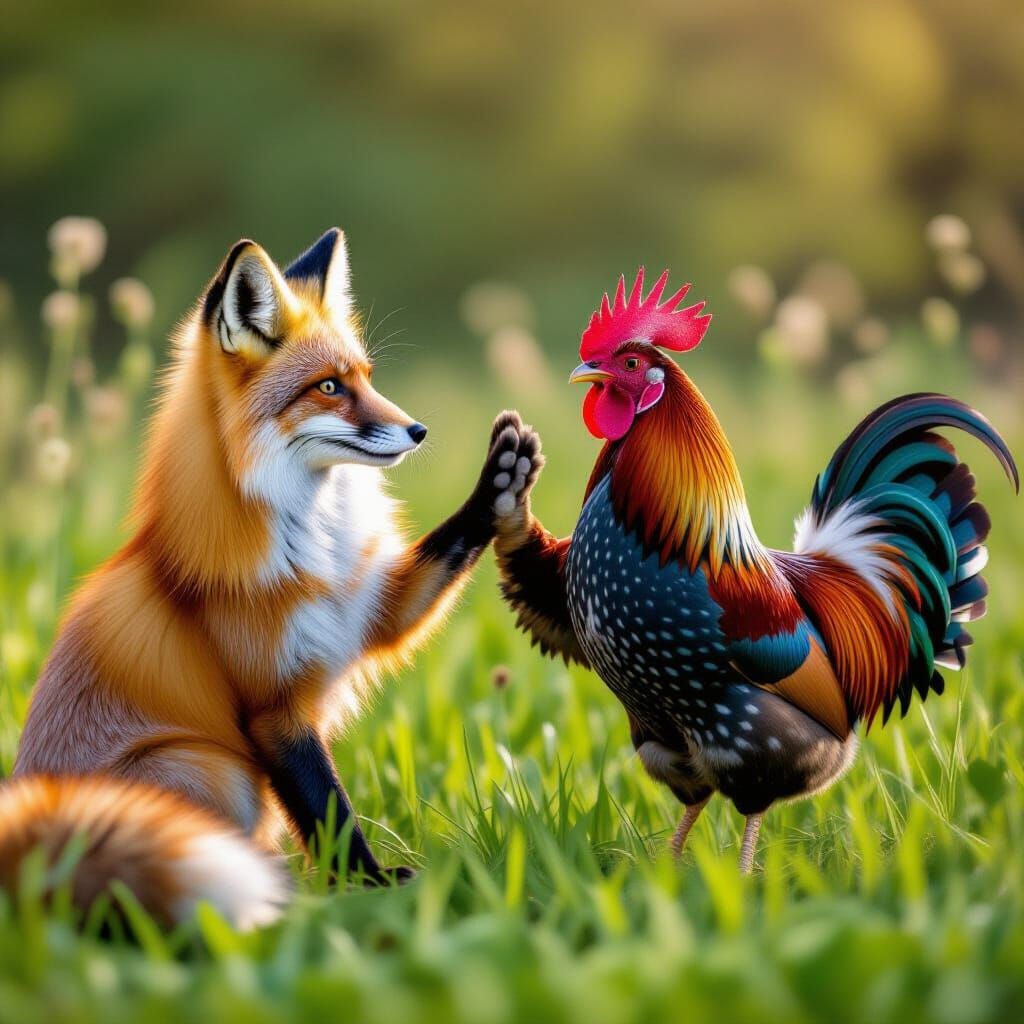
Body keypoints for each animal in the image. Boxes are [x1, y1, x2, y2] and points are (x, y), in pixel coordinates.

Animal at [2, 229, 542, 929]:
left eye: (366, 378)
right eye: (329, 387)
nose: (419, 430)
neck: (313, 541)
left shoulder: (367, 608)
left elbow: (442, 552)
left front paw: (499, 486)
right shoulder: (272, 708)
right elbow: (329, 810)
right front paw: (369, 889)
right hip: (202, 767)